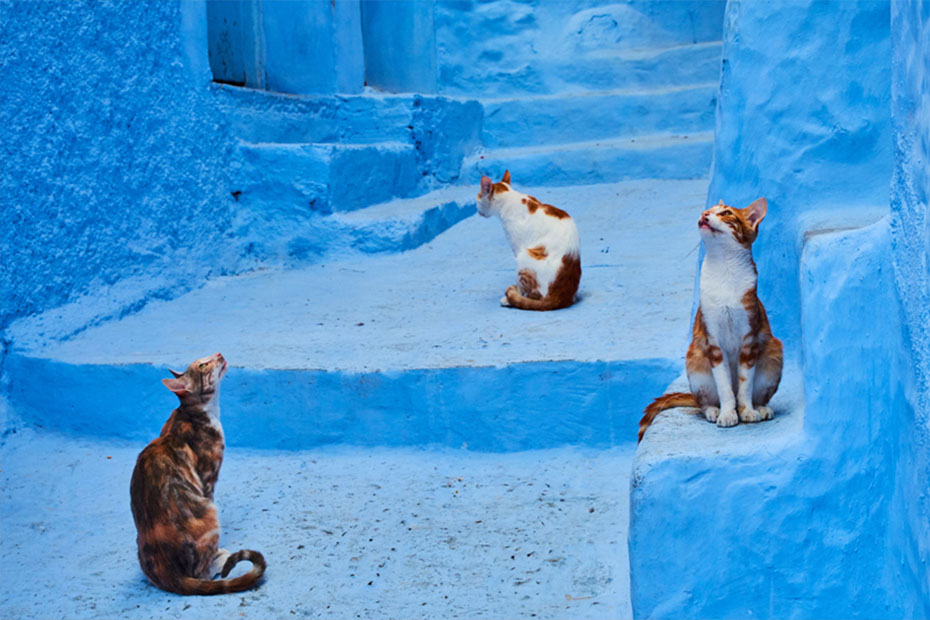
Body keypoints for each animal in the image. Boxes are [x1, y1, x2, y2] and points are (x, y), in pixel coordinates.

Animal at [129, 352, 264, 592]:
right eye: (203, 365)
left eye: (206, 358)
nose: (219, 354)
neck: (199, 413)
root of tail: (171, 576)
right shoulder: (208, 480)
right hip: (208, 511)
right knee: (201, 572)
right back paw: (219, 558)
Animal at [478, 170, 580, 310]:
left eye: (478, 195)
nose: (477, 208)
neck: (510, 198)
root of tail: (561, 297)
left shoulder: (517, 247)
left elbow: (519, 285)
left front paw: (516, 294)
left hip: (524, 259)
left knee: (535, 295)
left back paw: (510, 300)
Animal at [636, 197, 780, 440]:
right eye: (708, 210)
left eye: (726, 213)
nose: (704, 215)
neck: (724, 272)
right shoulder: (713, 342)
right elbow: (725, 387)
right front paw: (728, 414)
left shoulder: (749, 339)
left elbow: (744, 386)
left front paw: (747, 411)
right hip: (695, 361)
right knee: (702, 403)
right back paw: (714, 410)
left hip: (774, 352)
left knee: (759, 393)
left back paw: (761, 407)